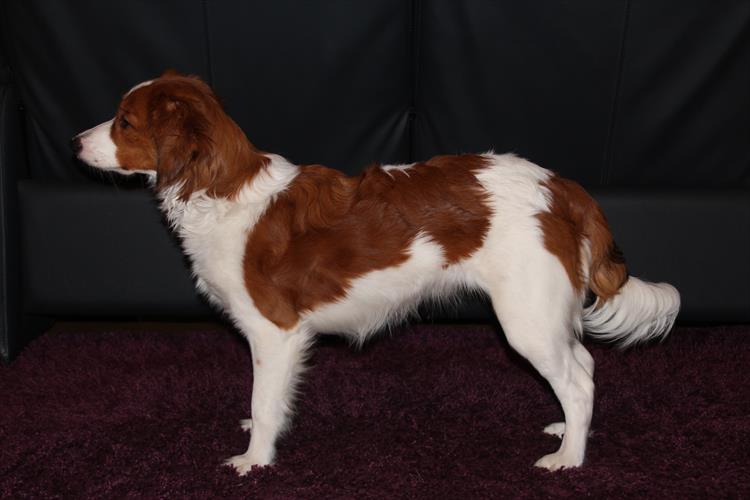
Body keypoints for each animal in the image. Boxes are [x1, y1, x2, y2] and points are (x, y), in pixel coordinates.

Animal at [73, 71, 680, 475]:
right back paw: (568, 430)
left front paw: (254, 459)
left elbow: (263, 402)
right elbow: (268, 402)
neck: (219, 191)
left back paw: (569, 457)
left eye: (124, 122)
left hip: (524, 317)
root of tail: (557, 184)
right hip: (542, 311)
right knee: (584, 365)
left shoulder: (274, 330)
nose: (74, 141)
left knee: (577, 380)